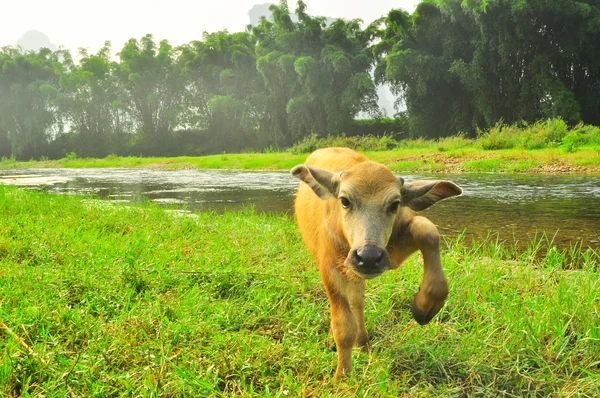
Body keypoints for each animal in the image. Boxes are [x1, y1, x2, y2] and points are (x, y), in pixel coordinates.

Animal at [292, 146, 462, 380]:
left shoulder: (393, 249)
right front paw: (342, 376)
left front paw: (426, 304)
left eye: (394, 204)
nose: (369, 257)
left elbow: (426, 229)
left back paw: (364, 343)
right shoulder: (330, 268)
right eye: (344, 200)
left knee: (357, 301)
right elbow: (343, 325)